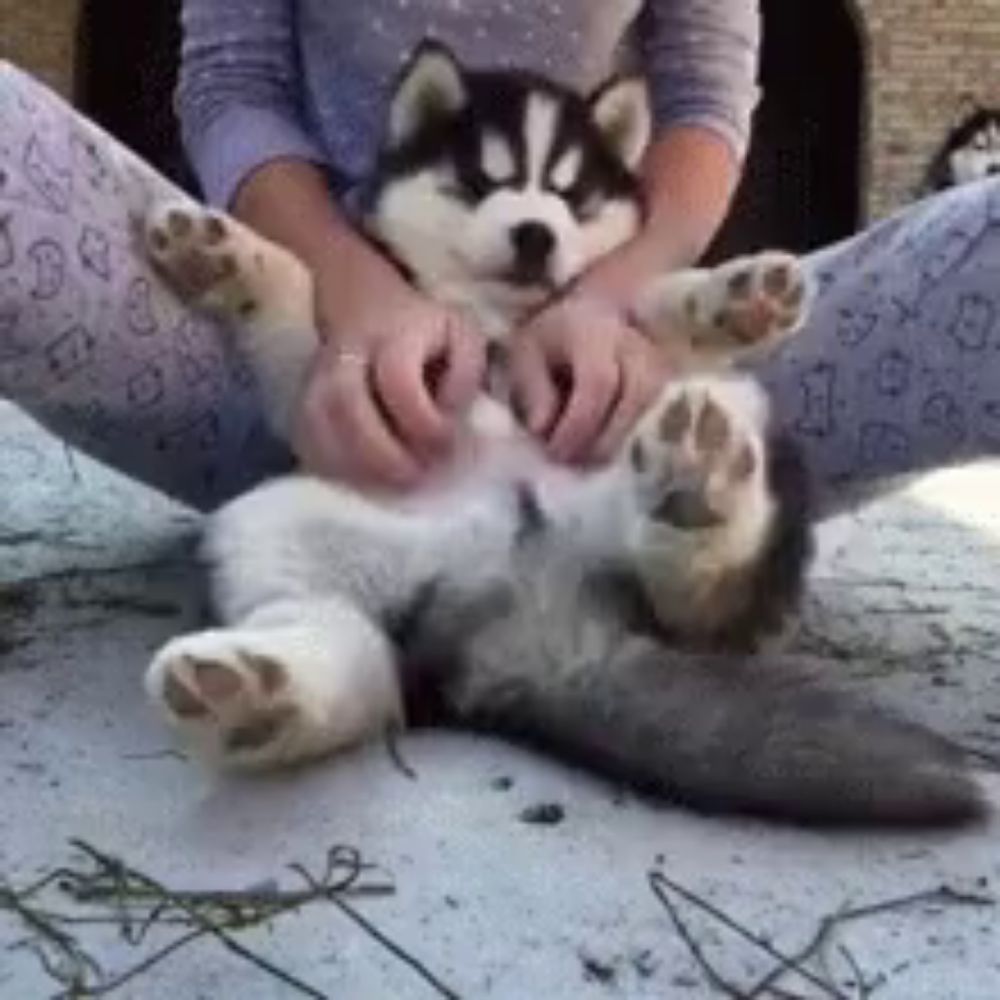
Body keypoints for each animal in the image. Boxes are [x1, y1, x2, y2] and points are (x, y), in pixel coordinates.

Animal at [143, 43, 984, 824]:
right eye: (482, 182)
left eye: (572, 197)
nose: (534, 235)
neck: (495, 323)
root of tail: (525, 603)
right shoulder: (317, 396)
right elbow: (304, 295)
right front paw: (223, 253)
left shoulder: (624, 364)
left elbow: (642, 313)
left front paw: (733, 296)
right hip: (271, 532)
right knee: (361, 661)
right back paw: (252, 695)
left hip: (709, 426)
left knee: (709, 604)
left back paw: (699, 484)